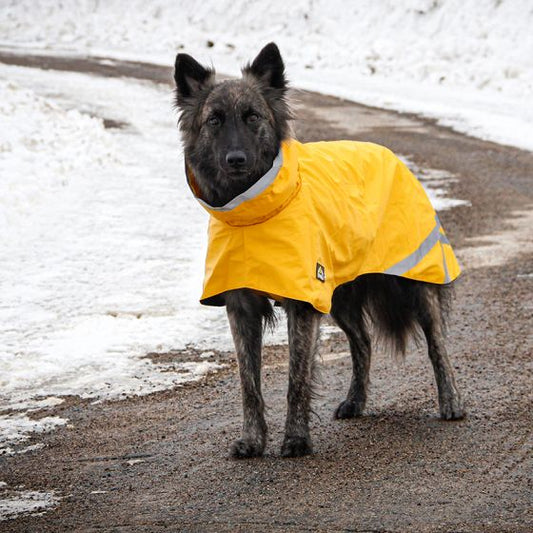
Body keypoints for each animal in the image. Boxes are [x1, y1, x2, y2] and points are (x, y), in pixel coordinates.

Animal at [174, 42, 462, 458]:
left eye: (252, 116)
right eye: (214, 120)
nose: (236, 159)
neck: (250, 213)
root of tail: (391, 155)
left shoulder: (303, 302)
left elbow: (296, 378)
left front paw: (296, 438)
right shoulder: (242, 306)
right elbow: (249, 384)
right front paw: (253, 440)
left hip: (412, 282)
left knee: (436, 342)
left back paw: (451, 401)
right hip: (340, 296)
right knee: (363, 342)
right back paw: (355, 401)